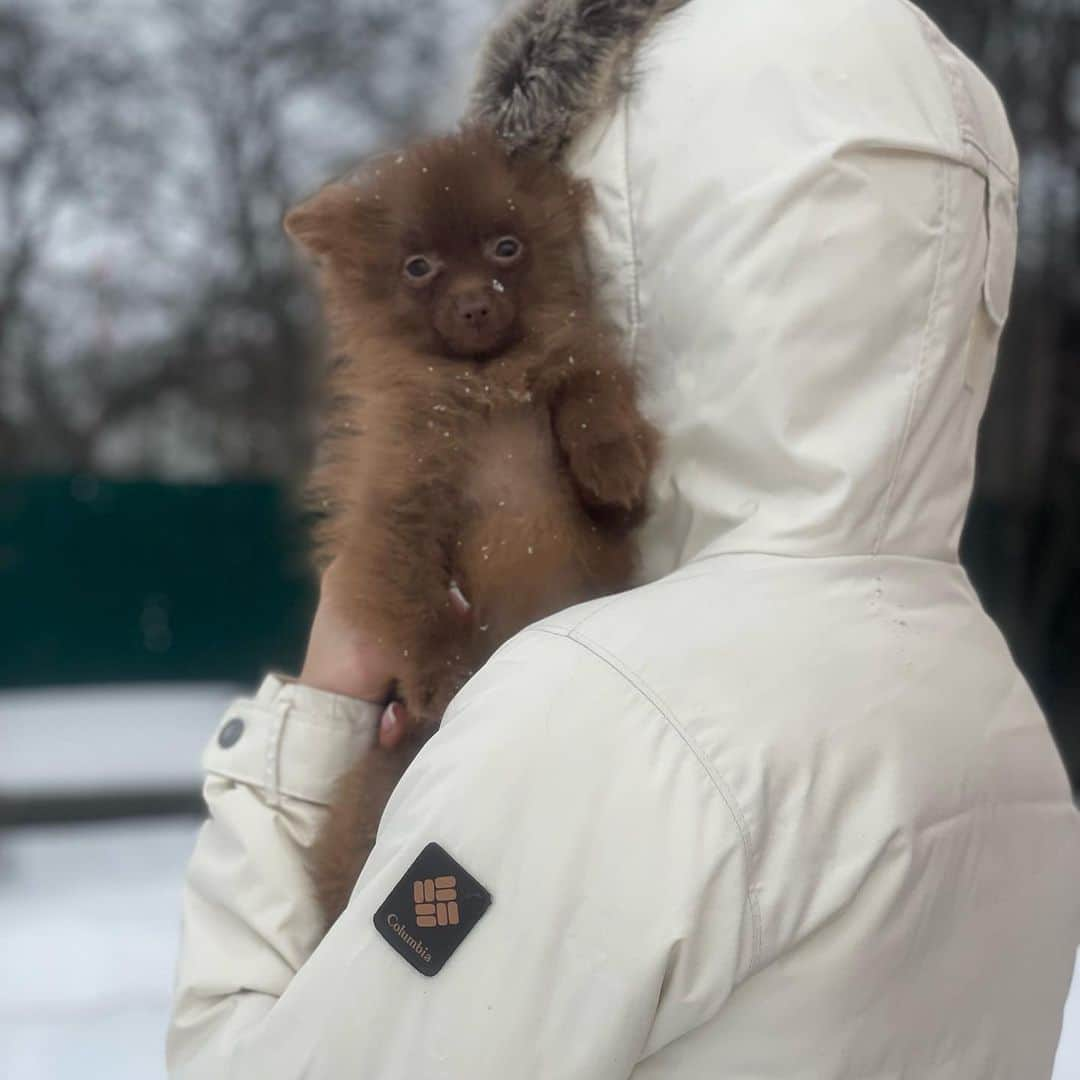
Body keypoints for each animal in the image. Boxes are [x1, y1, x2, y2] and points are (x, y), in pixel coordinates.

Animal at [287, 124, 652, 920]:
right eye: (418, 266)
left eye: (505, 248)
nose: (476, 304)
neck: (487, 392)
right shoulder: (395, 502)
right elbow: (413, 597)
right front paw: (444, 675)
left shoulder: (573, 389)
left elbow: (591, 392)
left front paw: (612, 464)